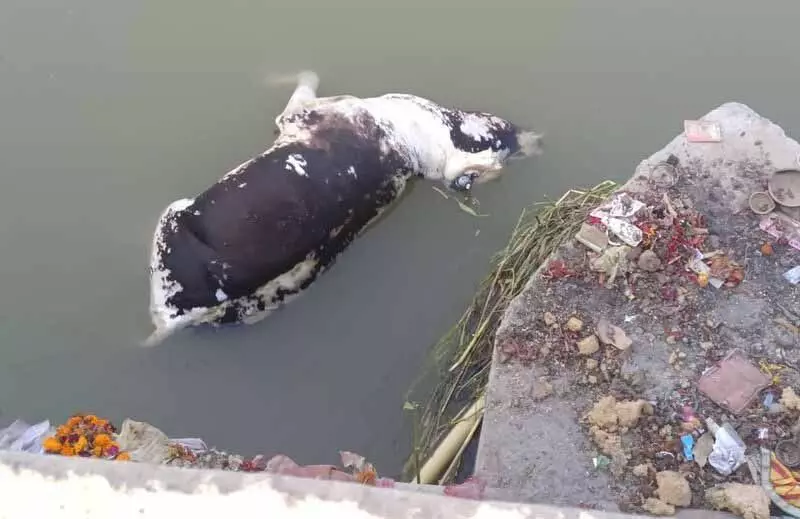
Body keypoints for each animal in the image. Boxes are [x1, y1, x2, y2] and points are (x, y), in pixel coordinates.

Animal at [145, 70, 544, 346]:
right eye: (507, 136)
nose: (539, 141)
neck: (418, 146)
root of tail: (183, 317)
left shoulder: (301, 110)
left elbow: (305, 75)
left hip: (169, 217)